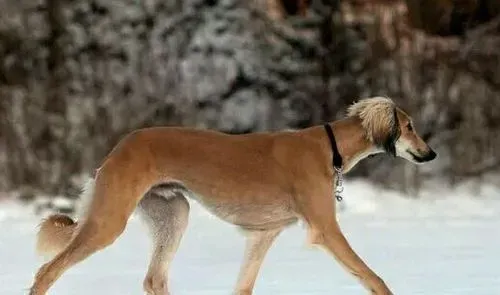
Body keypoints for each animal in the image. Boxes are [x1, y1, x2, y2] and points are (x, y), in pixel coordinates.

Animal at [29, 96, 438, 294]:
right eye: (409, 126)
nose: (430, 153)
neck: (329, 147)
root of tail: (117, 149)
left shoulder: (263, 234)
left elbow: (243, 286)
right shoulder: (325, 228)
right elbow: (372, 277)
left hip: (173, 214)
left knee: (154, 279)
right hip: (109, 220)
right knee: (48, 271)